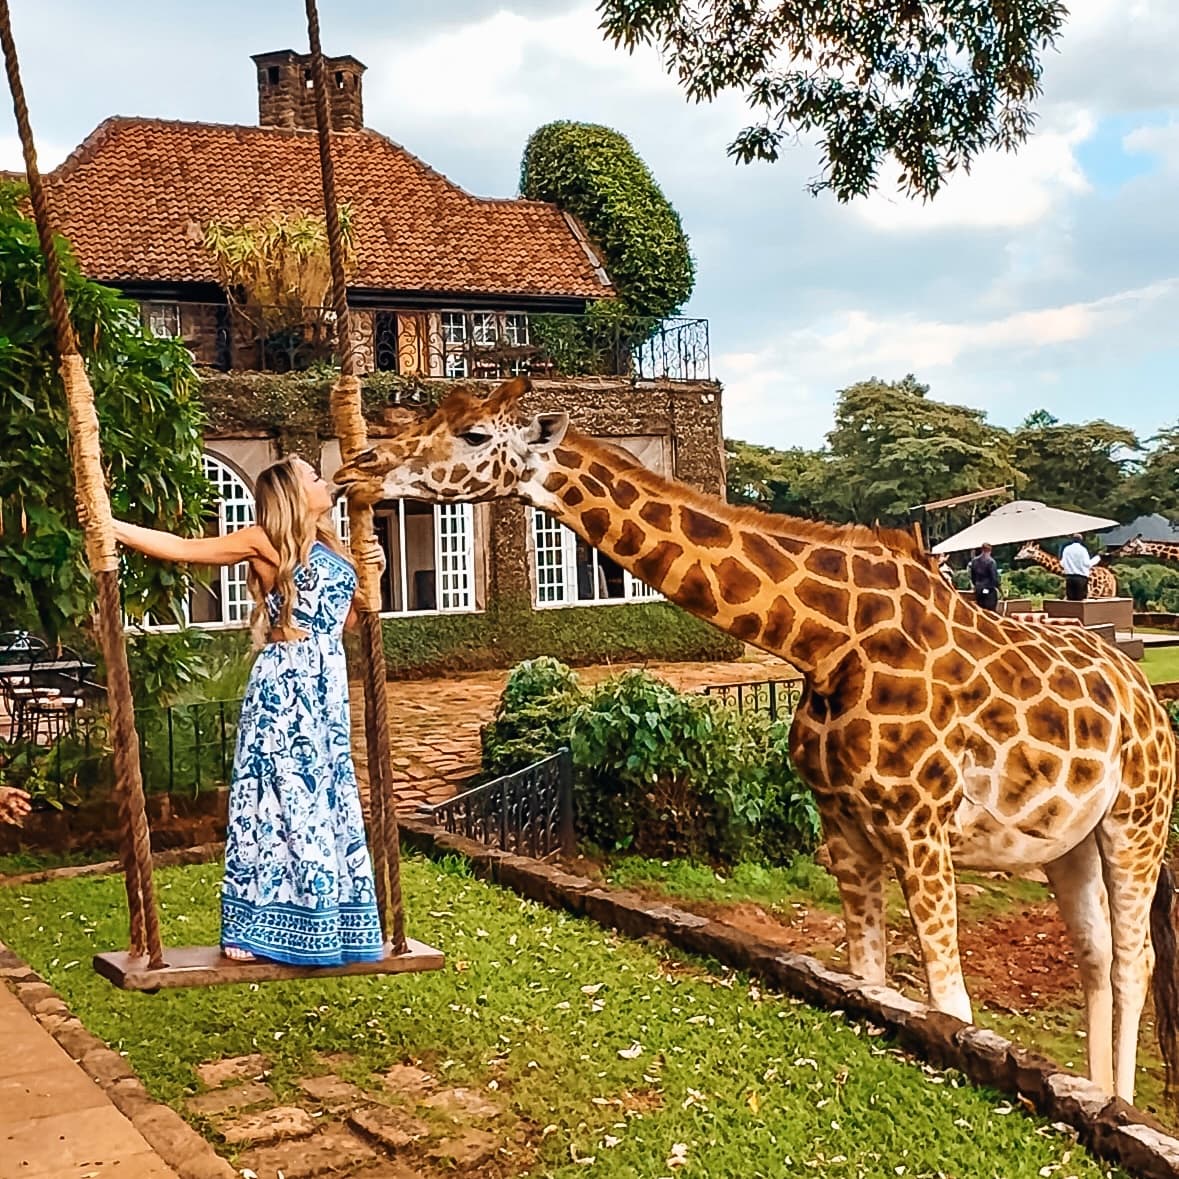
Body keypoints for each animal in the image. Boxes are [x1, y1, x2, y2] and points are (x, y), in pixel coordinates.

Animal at [335, 377, 1179, 1104]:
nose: (358, 468)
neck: (823, 640)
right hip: (1066, 839)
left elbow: (952, 1003)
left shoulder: (919, 827)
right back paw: (1104, 1094)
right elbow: (872, 982)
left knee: (1133, 958)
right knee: (1094, 954)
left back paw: (1120, 1100)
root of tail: (1144, 692)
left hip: (1136, 821)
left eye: (474, 433)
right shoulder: (844, 825)